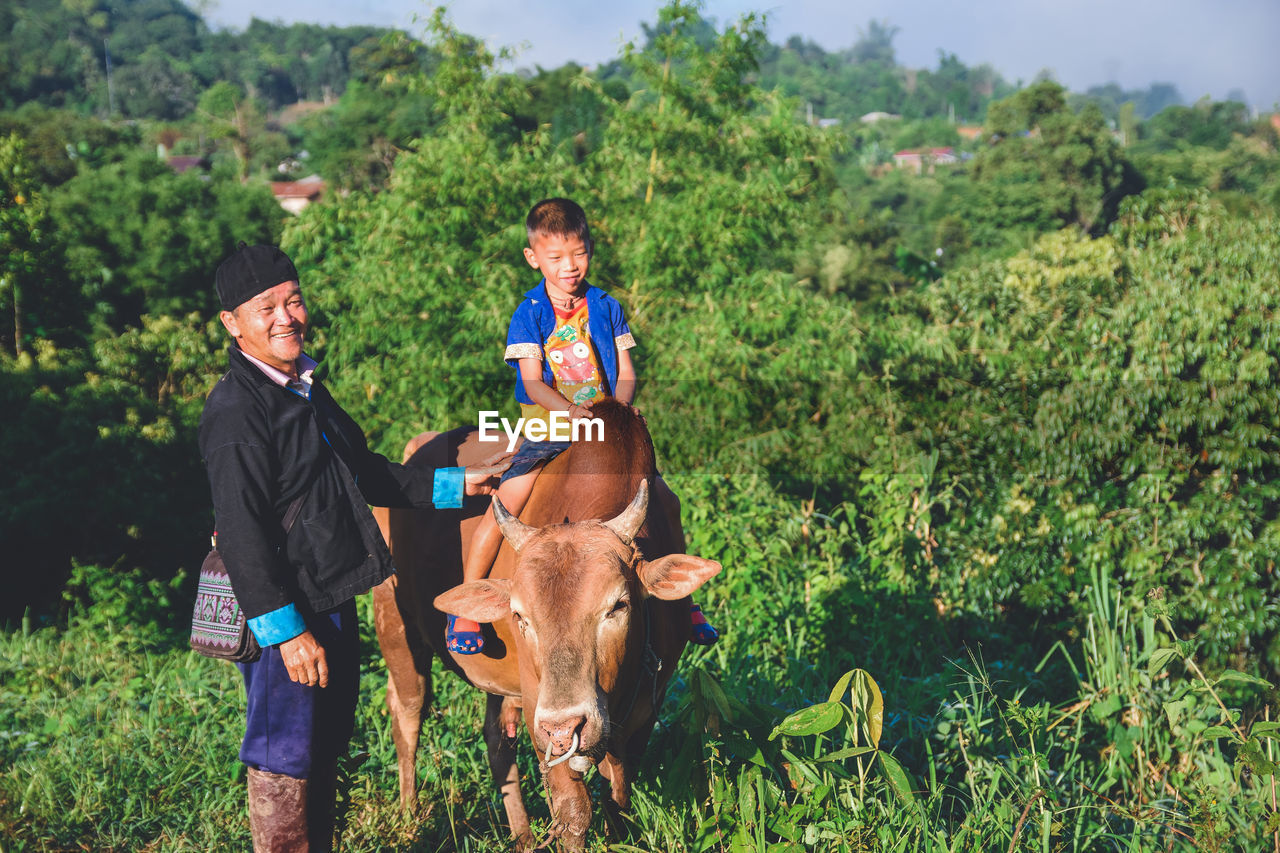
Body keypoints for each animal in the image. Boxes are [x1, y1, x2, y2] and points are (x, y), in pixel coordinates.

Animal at [373, 399, 727, 850]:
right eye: (520, 615)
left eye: (618, 606)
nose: (564, 727)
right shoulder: (537, 707)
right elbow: (573, 811)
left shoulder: (648, 706)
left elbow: (618, 797)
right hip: (394, 623)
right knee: (408, 710)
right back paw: (409, 812)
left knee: (496, 742)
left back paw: (523, 835)